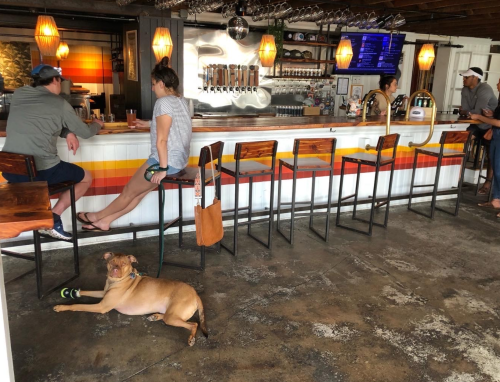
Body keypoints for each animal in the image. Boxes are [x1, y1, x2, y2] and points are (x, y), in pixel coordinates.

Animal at [54, 251, 209, 346]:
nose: (115, 270)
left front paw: (61, 307)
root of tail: (195, 294)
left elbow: (78, 305)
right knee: (168, 317)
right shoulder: (103, 295)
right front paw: (73, 292)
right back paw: (155, 316)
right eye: (111, 262)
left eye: (124, 264)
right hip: (170, 314)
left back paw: (191, 338)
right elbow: (86, 291)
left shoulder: (101, 306)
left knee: (193, 324)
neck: (116, 281)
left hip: (173, 316)